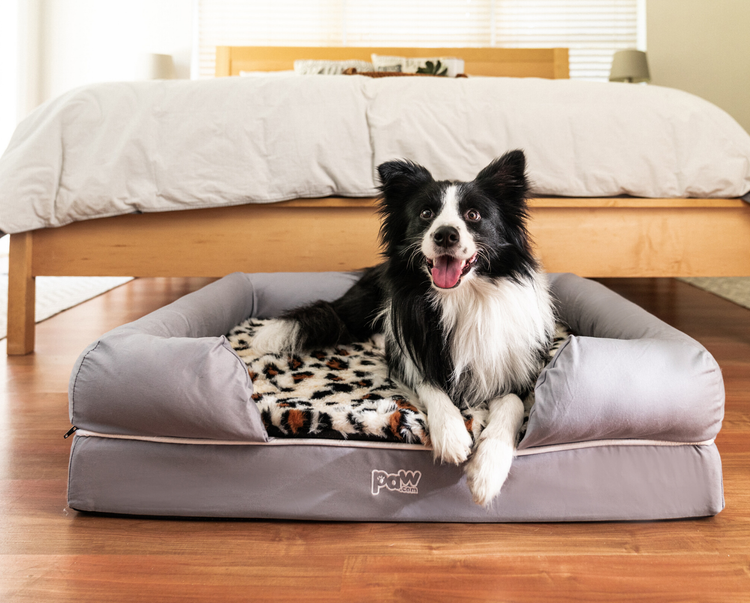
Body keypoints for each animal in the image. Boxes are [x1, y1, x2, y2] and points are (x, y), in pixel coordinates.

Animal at [256, 150, 556, 504]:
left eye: (473, 215)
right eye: (426, 213)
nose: (445, 234)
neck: (461, 298)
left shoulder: (516, 372)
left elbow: (512, 404)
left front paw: (487, 471)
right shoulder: (411, 358)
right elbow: (432, 386)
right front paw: (452, 435)